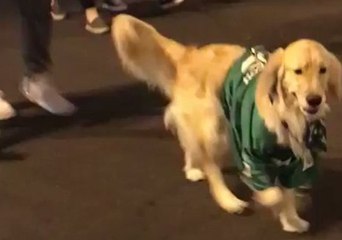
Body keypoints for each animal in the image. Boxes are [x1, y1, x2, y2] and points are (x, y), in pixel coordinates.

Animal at [111, 13, 342, 232]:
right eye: (298, 71)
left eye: (323, 70)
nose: (314, 99)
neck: (288, 114)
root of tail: (190, 55)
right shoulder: (250, 156)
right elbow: (274, 193)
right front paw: (272, 202)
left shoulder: (295, 164)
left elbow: (288, 192)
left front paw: (292, 220)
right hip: (213, 128)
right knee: (212, 169)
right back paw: (228, 200)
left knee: (190, 144)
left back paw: (192, 168)